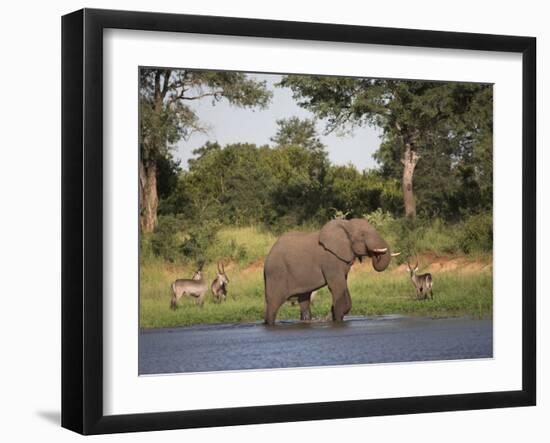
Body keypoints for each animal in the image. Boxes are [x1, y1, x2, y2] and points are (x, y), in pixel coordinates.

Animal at [264, 219, 398, 326]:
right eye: (362, 235)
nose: (376, 255)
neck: (346, 224)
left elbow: (344, 287)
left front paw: (333, 315)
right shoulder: (331, 260)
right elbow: (336, 286)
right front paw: (336, 319)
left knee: (304, 300)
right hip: (276, 274)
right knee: (273, 304)